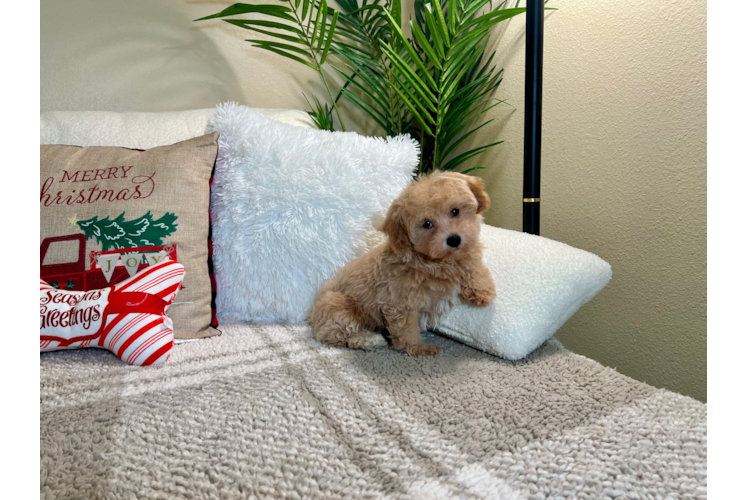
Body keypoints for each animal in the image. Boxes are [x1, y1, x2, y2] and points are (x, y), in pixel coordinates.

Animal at [312, 171, 496, 356]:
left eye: (455, 211)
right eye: (427, 224)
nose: (453, 239)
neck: (434, 261)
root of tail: (312, 317)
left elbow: (471, 263)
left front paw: (483, 290)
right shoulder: (401, 303)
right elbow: (407, 329)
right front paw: (419, 348)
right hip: (339, 306)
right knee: (336, 335)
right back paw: (369, 339)